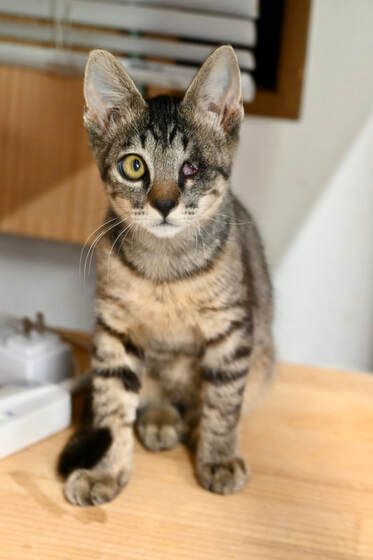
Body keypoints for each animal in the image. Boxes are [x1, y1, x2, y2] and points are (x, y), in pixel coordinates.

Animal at [58, 46, 274, 506]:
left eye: (190, 169)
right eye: (134, 166)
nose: (163, 204)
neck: (165, 271)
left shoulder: (232, 330)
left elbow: (224, 401)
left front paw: (218, 455)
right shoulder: (115, 329)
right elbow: (112, 407)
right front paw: (106, 470)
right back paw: (159, 417)